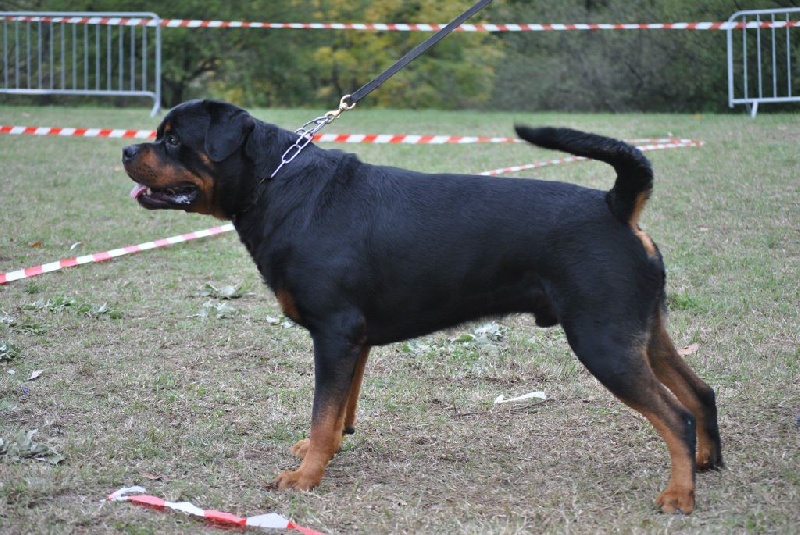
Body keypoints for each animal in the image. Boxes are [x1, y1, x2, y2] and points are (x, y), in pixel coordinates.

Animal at [122, 99, 722, 514]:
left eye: (173, 140)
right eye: (158, 137)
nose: (127, 150)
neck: (277, 185)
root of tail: (616, 206)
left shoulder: (334, 333)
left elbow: (323, 411)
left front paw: (306, 478)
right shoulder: (353, 340)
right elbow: (339, 412)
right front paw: (326, 450)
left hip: (602, 341)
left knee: (677, 415)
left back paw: (679, 494)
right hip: (643, 332)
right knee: (700, 393)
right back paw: (706, 463)